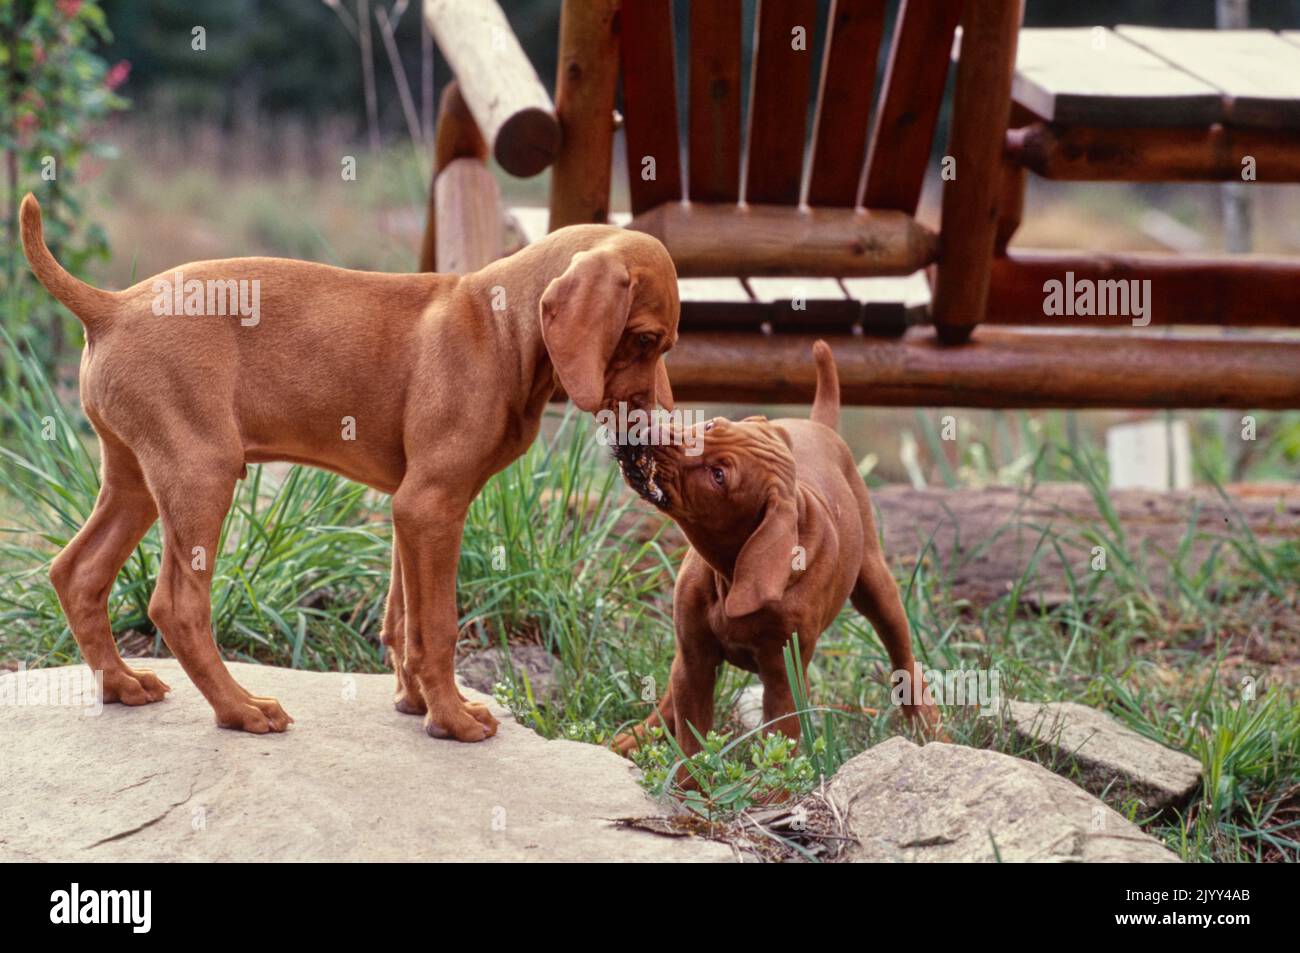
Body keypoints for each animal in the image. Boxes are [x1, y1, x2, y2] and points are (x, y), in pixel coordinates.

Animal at [22, 193, 681, 738]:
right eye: (646, 340)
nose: (664, 428)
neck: (500, 328)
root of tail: (111, 305)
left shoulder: (411, 509)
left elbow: (402, 618)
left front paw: (418, 705)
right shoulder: (431, 504)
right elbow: (438, 625)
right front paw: (451, 721)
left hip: (135, 476)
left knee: (76, 572)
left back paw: (121, 684)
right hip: (200, 474)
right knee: (176, 607)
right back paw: (240, 709)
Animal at [613, 343, 941, 759]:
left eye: (718, 476)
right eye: (710, 426)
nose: (645, 431)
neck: (730, 574)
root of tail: (819, 425)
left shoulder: (785, 680)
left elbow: (778, 748)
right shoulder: (694, 660)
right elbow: (690, 741)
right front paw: (688, 774)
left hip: (878, 588)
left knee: (904, 660)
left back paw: (931, 729)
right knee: (667, 703)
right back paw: (631, 739)